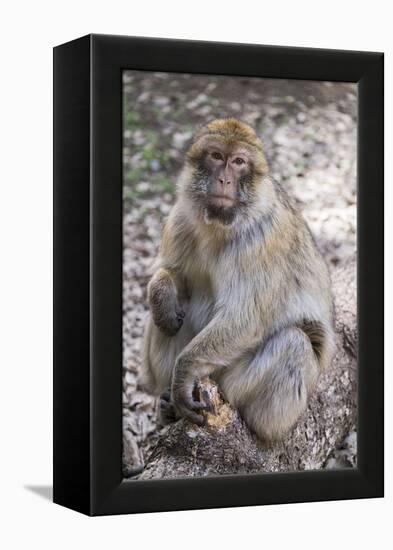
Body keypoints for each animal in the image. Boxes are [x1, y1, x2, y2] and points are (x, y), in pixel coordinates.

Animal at [139, 118, 332, 442]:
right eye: (217, 156)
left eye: (239, 162)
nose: (225, 180)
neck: (219, 226)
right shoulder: (180, 219)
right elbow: (174, 277)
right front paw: (162, 292)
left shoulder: (262, 240)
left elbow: (245, 318)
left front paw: (182, 375)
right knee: (168, 317)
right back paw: (166, 402)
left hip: (239, 385)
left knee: (295, 342)